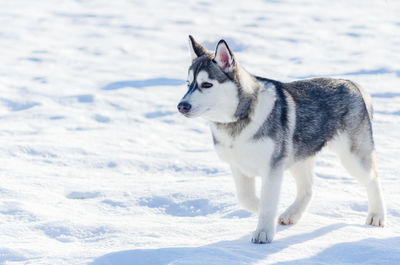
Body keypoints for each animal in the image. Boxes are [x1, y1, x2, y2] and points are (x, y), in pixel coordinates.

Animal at [177, 36, 386, 242]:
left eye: (206, 84)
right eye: (188, 84)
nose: (181, 106)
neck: (239, 119)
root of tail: (352, 83)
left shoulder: (272, 167)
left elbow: (268, 202)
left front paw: (263, 232)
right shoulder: (238, 166)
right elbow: (245, 198)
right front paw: (265, 213)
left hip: (352, 156)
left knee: (373, 179)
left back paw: (376, 215)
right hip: (298, 157)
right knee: (308, 189)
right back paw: (291, 214)